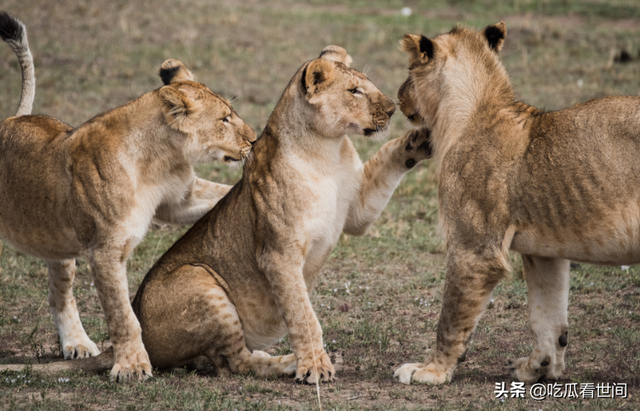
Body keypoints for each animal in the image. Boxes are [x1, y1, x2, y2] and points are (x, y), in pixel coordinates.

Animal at [0, 13, 255, 386]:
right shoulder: (105, 249)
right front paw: (132, 366)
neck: (159, 159)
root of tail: (11, 119)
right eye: (224, 119)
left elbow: (220, 194)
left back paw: (77, 344)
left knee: (58, 296)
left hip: (57, 245)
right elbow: (123, 316)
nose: (255, 139)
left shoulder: (179, 198)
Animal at [392, 20, 640, 386]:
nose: (397, 96)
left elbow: (450, 319)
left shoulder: (474, 249)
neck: (470, 113)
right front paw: (539, 367)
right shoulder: (545, 253)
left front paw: (430, 370)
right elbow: (547, 316)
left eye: (410, 69)